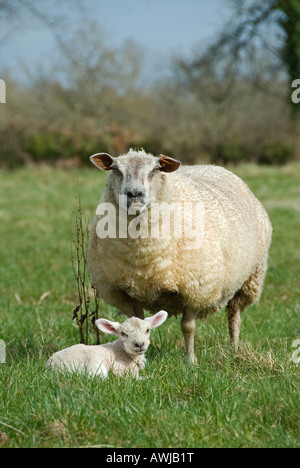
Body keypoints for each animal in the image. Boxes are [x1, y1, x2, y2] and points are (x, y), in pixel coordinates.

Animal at [88, 149, 274, 362]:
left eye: (155, 170)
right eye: (116, 170)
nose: (134, 194)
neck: (144, 256)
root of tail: (212, 166)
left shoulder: (195, 288)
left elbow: (188, 328)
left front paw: (190, 361)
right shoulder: (123, 292)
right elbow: (140, 323)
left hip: (250, 280)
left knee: (234, 317)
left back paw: (234, 349)